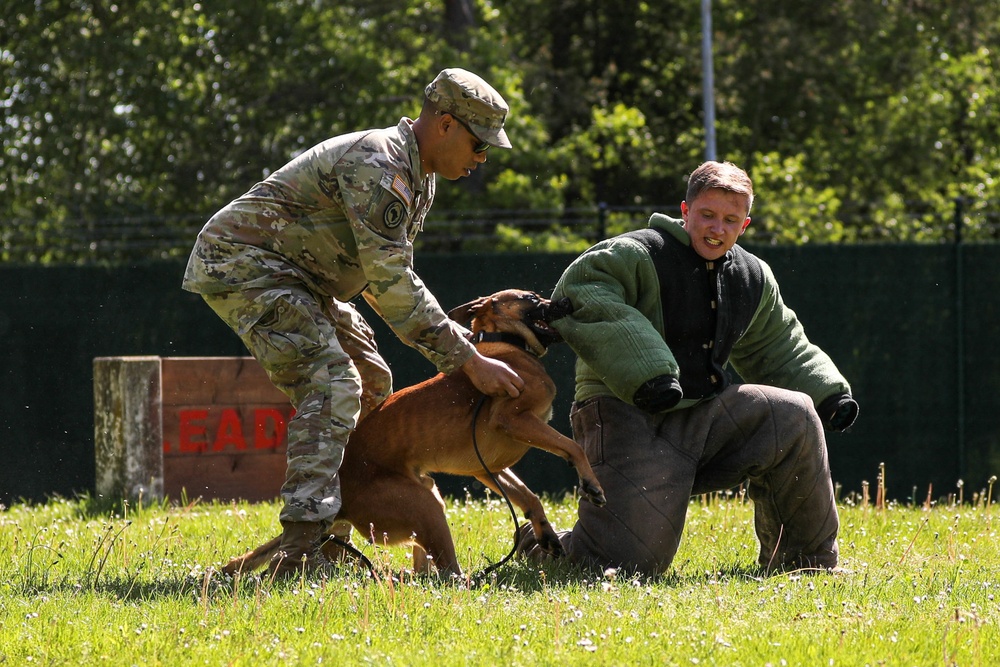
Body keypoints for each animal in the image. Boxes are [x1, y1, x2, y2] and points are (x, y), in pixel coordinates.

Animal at [223, 290, 604, 576]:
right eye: (531, 297)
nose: (567, 301)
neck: (508, 344)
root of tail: (341, 502)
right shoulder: (512, 420)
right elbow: (573, 447)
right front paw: (590, 484)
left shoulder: (486, 467)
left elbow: (528, 496)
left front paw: (546, 532)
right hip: (426, 507)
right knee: (449, 573)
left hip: (429, 493)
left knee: (428, 566)